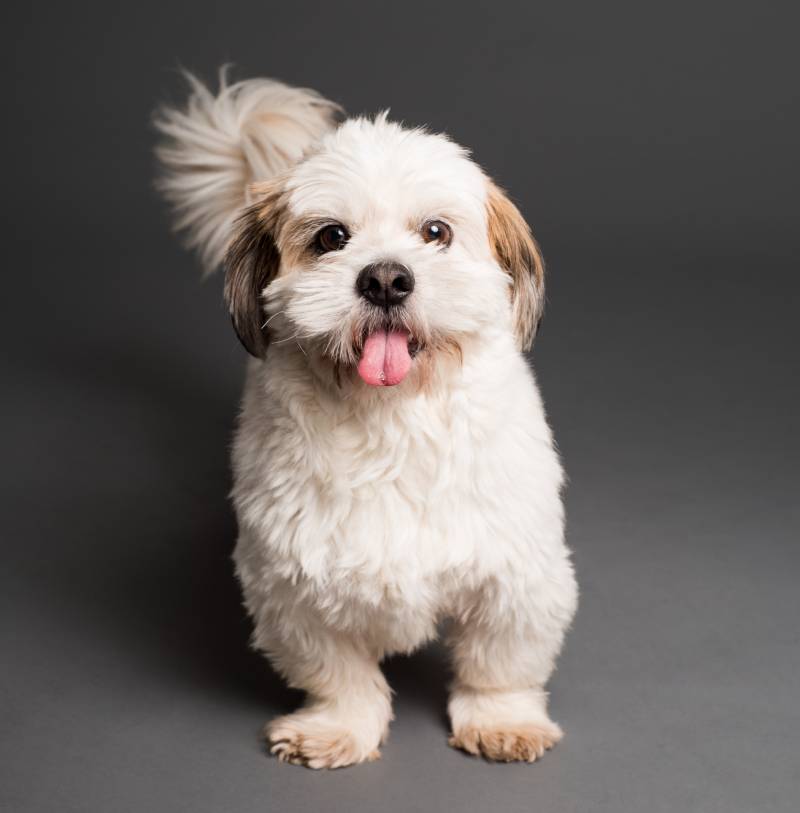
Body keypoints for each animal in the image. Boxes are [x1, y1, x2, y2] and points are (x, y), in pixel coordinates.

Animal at [156, 70, 580, 768]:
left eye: (435, 232)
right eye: (332, 237)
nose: (385, 278)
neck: (392, 419)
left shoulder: (516, 573)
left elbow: (499, 662)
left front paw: (502, 719)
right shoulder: (290, 587)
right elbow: (339, 673)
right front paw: (338, 726)